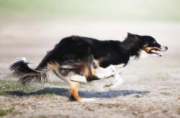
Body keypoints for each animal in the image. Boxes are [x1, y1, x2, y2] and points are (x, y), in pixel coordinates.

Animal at [9, 32, 167, 102]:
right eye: (154, 42)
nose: (166, 46)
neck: (126, 49)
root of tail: (55, 49)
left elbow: (118, 77)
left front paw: (109, 85)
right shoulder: (101, 62)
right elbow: (111, 71)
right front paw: (108, 80)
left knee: (74, 90)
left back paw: (86, 97)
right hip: (85, 50)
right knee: (90, 76)